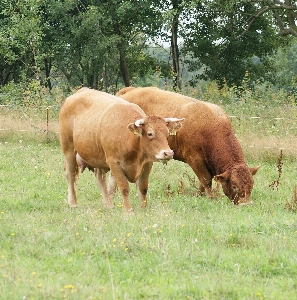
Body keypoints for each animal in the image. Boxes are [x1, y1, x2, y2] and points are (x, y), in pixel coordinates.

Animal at [115, 85, 260, 205]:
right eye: (235, 186)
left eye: (251, 185)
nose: (247, 204)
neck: (211, 126)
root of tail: (130, 90)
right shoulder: (194, 159)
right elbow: (206, 180)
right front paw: (210, 198)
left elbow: (203, 182)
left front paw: (200, 195)